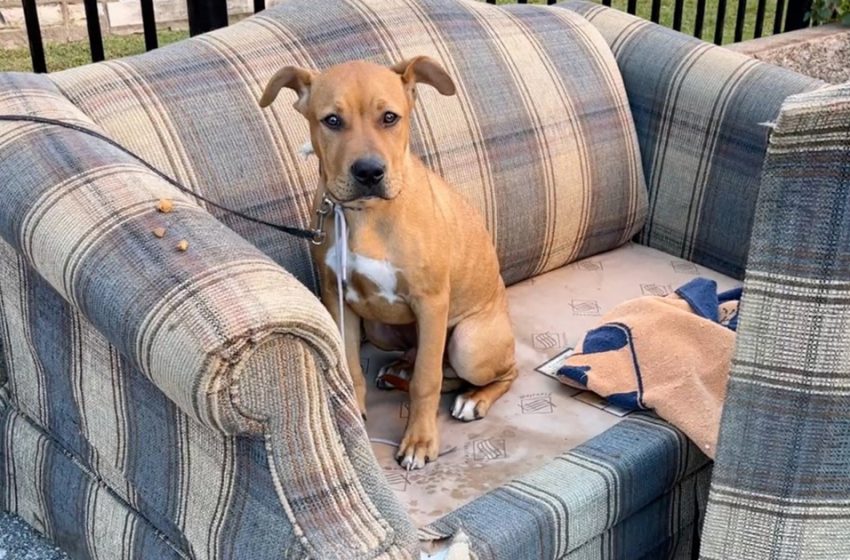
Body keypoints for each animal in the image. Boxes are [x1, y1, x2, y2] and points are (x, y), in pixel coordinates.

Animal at [258, 58, 512, 468]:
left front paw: (420, 441)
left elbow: (427, 381)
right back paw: (400, 367)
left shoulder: (431, 302)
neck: (367, 214)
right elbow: (351, 368)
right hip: (380, 327)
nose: (368, 172)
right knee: (421, 357)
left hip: (468, 344)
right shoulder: (339, 299)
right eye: (332, 120)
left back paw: (474, 399)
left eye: (390, 117)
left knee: (492, 370)